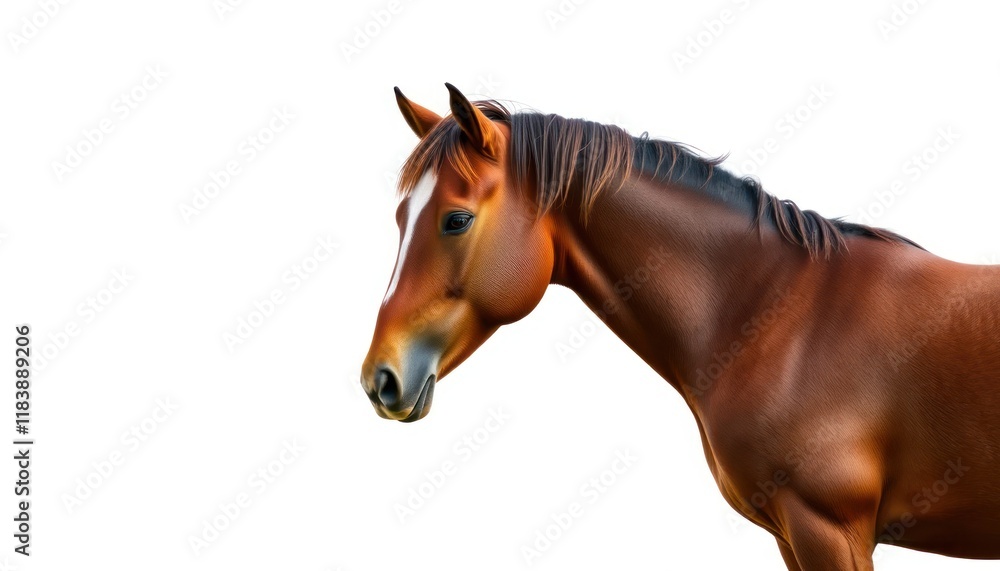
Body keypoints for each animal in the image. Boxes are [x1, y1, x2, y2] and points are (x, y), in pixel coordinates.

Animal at [360, 83, 1000, 569]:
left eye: (456, 219)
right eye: (399, 217)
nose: (379, 379)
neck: (788, 315)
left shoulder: (830, 529)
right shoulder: (794, 535)